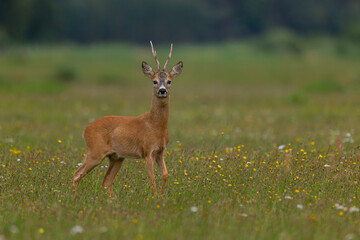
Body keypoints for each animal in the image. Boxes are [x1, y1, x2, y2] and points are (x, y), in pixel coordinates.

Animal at [71, 41, 183, 199]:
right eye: (154, 81)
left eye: (169, 81)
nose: (162, 90)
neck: (154, 126)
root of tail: (86, 129)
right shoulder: (146, 151)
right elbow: (152, 178)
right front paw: (154, 198)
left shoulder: (160, 151)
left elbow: (166, 175)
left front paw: (160, 197)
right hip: (95, 151)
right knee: (77, 174)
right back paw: (75, 198)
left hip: (116, 157)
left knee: (106, 181)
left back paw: (114, 201)